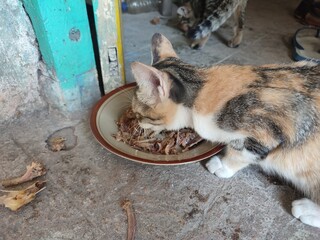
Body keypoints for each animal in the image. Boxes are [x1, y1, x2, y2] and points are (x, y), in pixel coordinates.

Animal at [131, 32, 320, 228]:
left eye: (137, 113)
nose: (137, 124)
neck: (202, 89)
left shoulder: (267, 130)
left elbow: (240, 152)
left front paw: (223, 165)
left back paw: (306, 210)